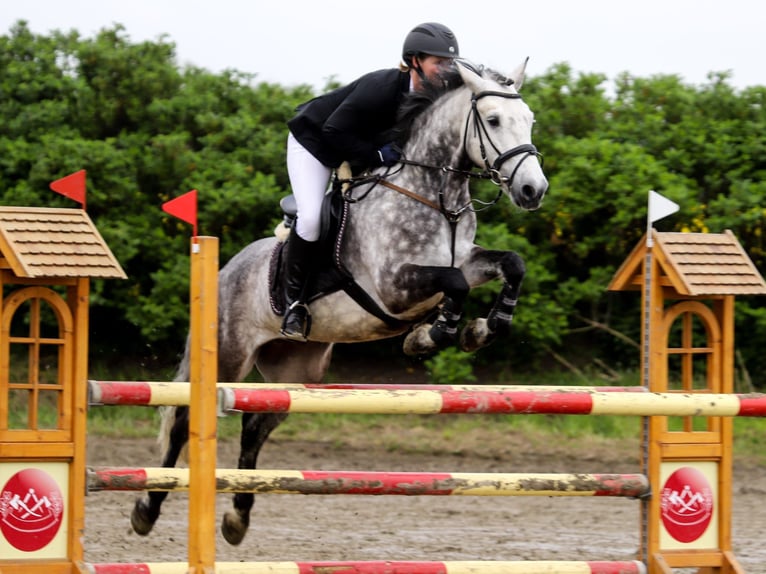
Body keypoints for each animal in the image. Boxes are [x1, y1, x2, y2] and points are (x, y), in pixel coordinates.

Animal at [134, 59, 552, 548]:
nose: (533, 190)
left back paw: (237, 519)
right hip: (227, 355)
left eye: (530, 120)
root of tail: (223, 270)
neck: (435, 197)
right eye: (493, 120)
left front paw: (481, 329)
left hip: (296, 370)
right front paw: (432, 335)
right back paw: (146, 510)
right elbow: (453, 286)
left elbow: (512, 264)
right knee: (185, 420)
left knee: (255, 426)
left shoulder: (466, 262)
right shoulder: (393, 284)